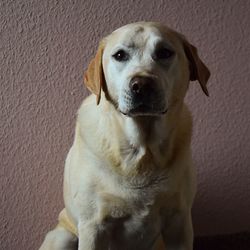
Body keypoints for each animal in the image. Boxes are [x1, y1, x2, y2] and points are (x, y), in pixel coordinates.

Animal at [39, 22, 210, 250]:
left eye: (164, 52)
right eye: (120, 55)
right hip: (63, 237)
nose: (142, 84)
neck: (142, 153)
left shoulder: (179, 223)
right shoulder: (93, 226)